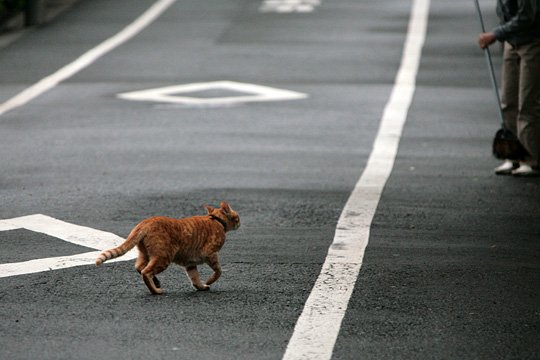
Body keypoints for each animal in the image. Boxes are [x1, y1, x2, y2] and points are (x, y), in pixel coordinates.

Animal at [95, 201, 240, 294]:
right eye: (237, 217)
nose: (239, 223)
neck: (216, 220)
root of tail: (145, 222)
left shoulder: (190, 263)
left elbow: (195, 278)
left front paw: (201, 287)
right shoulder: (210, 254)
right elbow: (218, 271)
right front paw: (209, 281)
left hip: (146, 254)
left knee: (139, 267)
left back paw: (156, 282)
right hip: (164, 257)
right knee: (146, 272)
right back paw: (156, 290)